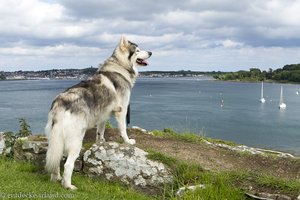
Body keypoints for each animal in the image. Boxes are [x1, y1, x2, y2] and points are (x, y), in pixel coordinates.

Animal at [44, 36, 151, 189]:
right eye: (137, 50)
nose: (151, 52)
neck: (119, 67)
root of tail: (60, 101)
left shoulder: (103, 115)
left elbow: (100, 131)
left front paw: (101, 142)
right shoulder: (122, 111)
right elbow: (123, 129)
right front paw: (128, 141)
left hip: (55, 140)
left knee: (57, 160)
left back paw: (56, 178)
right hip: (76, 141)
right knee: (68, 165)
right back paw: (68, 186)